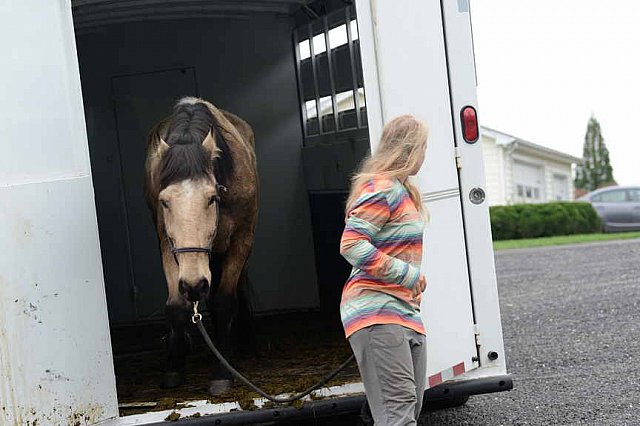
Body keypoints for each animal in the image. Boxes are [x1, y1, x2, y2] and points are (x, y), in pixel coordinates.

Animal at [143, 97, 258, 396]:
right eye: (165, 201)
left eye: (211, 198)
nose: (194, 284)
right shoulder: (168, 246)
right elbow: (176, 305)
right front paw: (174, 365)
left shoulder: (241, 240)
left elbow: (225, 301)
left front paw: (222, 373)